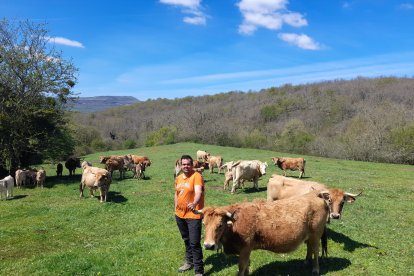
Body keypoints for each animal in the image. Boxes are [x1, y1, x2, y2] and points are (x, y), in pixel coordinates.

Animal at [192, 190, 332, 276]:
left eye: (220, 225)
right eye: (204, 224)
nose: (208, 245)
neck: (235, 223)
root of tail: (316, 195)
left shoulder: (245, 249)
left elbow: (241, 268)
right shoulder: (246, 250)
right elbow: (246, 266)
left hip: (316, 235)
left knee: (315, 251)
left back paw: (315, 269)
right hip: (310, 236)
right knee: (309, 248)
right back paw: (306, 262)